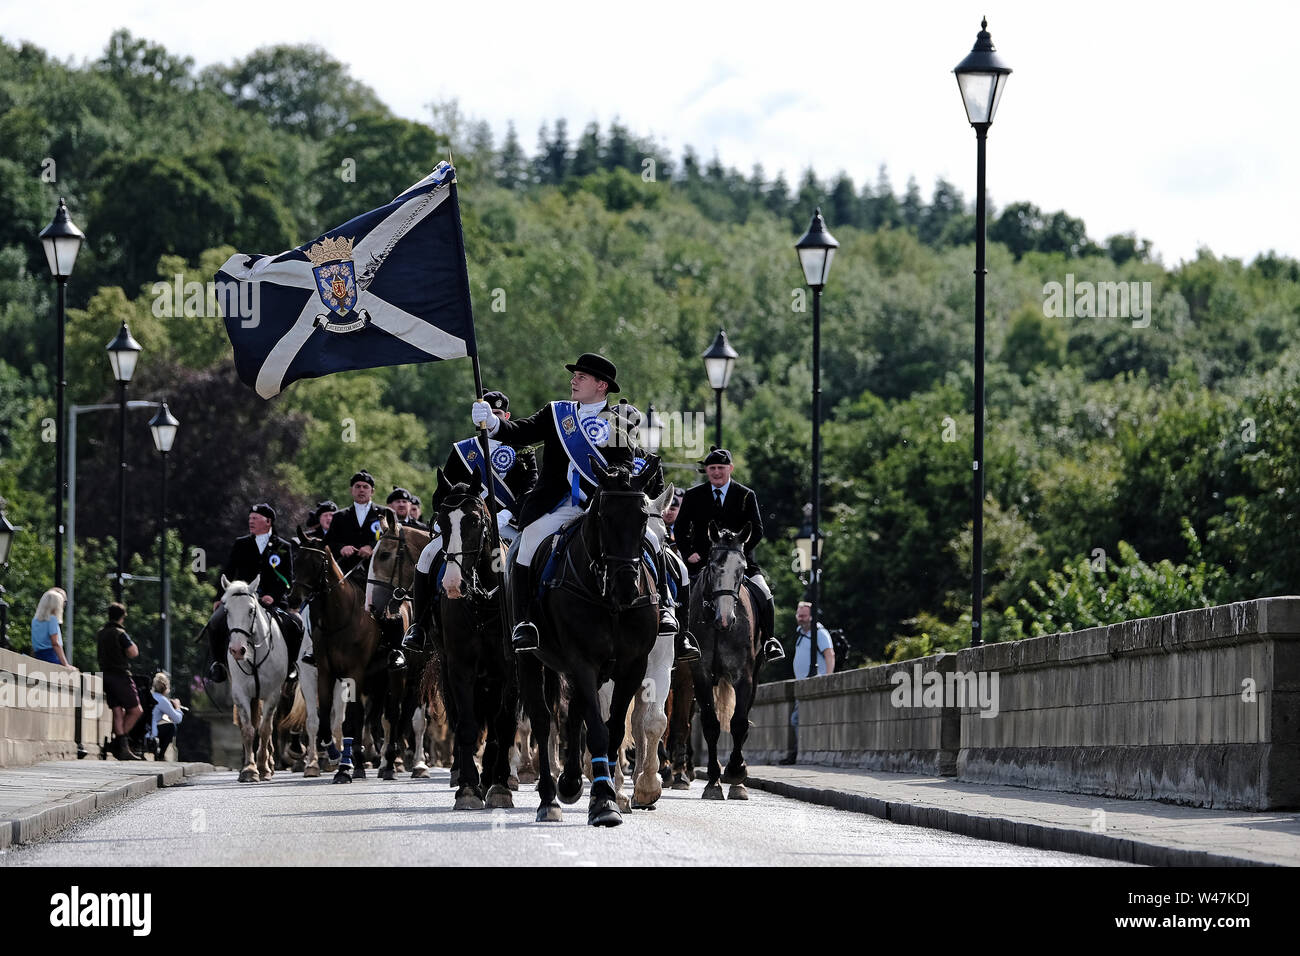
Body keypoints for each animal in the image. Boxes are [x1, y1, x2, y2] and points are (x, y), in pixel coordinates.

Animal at [226, 580, 292, 780]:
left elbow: (265, 729)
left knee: (267, 725)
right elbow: (248, 729)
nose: (237, 650)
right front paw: (249, 769)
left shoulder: (273, 693)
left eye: (250, 610)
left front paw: (262, 767)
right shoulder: (240, 693)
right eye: (226, 610)